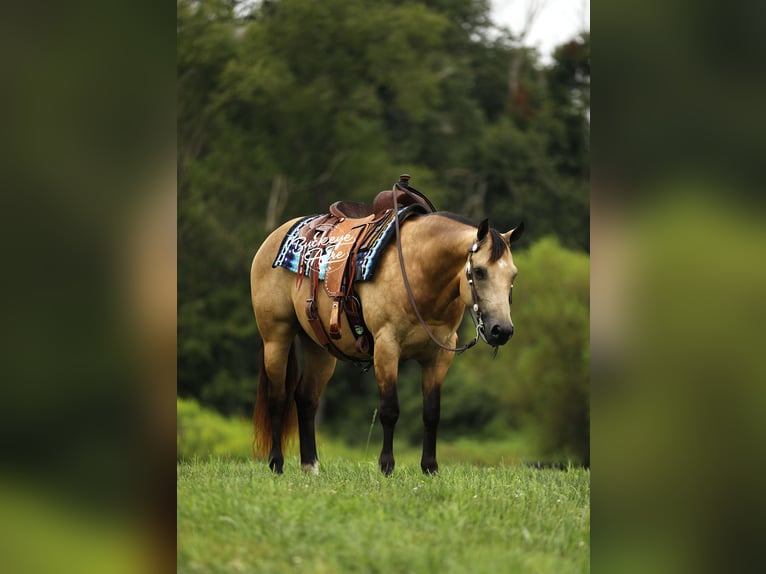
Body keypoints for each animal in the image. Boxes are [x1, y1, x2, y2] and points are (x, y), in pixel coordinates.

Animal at [250, 188, 524, 475]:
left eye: (513, 275)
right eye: (479, 272)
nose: (501, 330)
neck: (420, 273)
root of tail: (274, 236)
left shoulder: (439, 356)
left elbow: (432, 412)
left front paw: (430, 468)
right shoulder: (387, 348)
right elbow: (390, 410)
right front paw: (387, 466)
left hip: (320, 348)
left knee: (305, 398)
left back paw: (310, 466)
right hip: (276, 337)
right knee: (278, 397)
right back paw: (276, 463)